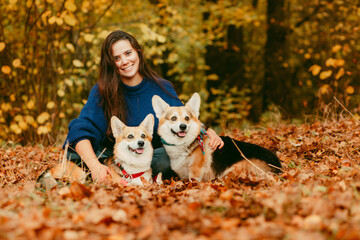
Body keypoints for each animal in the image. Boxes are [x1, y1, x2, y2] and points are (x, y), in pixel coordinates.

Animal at [151, 93, 282, 181]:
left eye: (187, 118)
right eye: (173, 118)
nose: (183, 126)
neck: (184, 144)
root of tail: (278, 167)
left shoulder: (195, 171)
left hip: (231, 170)